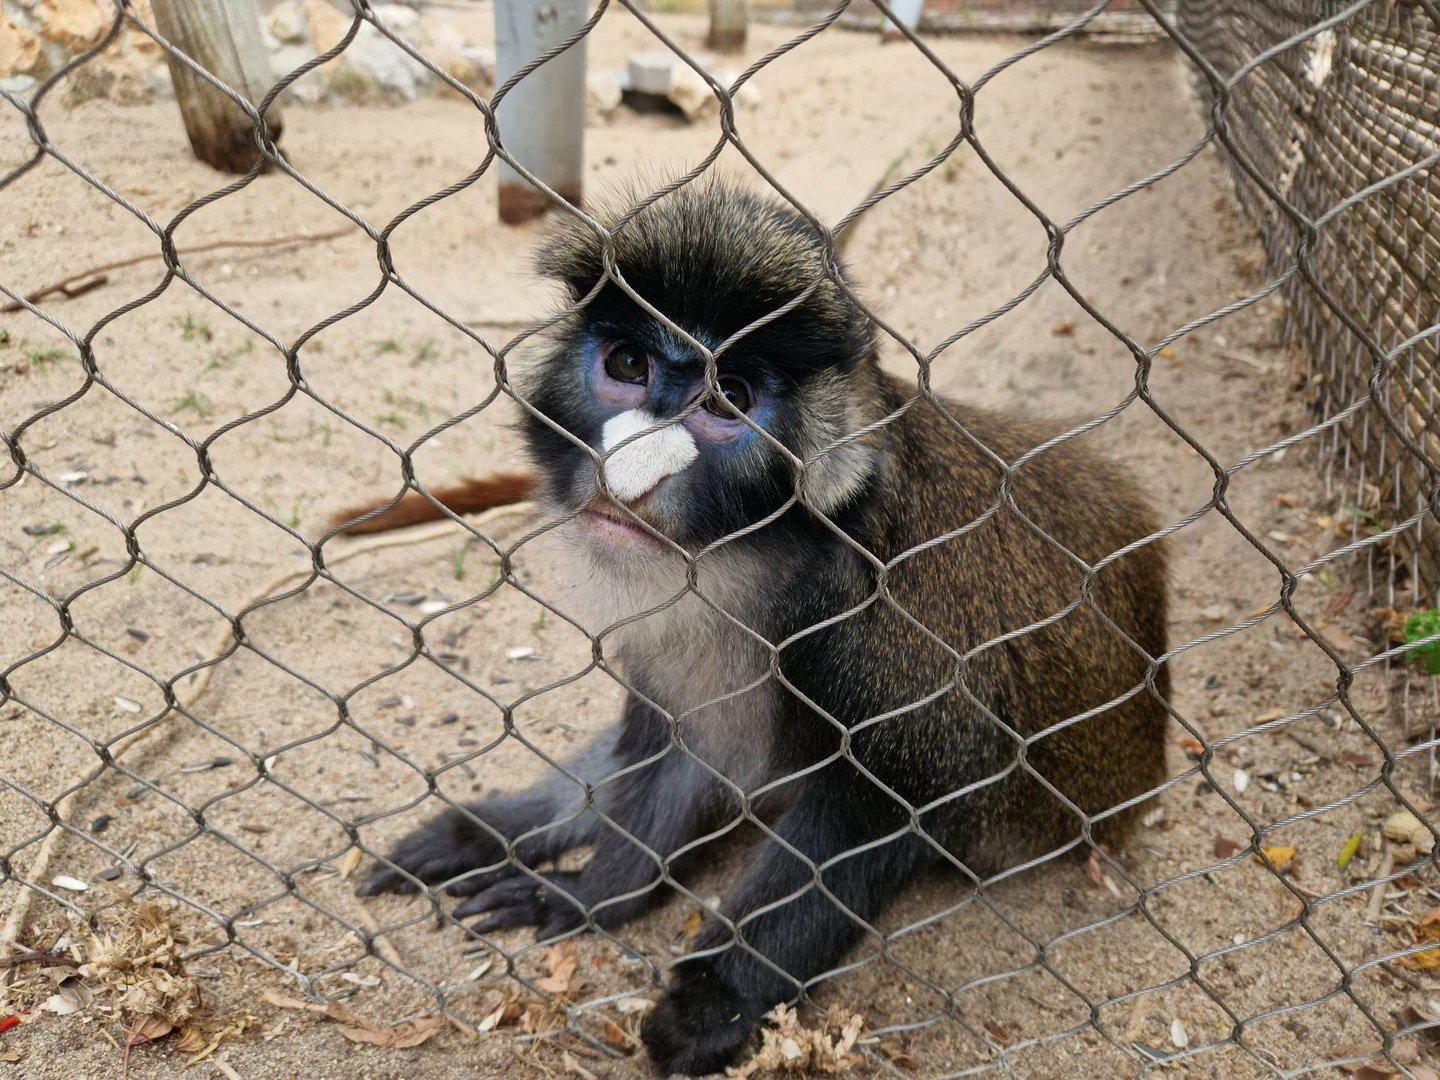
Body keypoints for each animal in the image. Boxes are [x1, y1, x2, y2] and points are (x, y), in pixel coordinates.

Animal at [351, 178, 1169, 1076]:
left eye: (729, 399)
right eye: (629, 365)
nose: (627, 480)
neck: (753, 561)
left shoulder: (877, 631)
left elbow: (897, 799)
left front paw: (713, 1002)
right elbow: (685, 750)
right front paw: (593, 889)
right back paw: (495, 829)